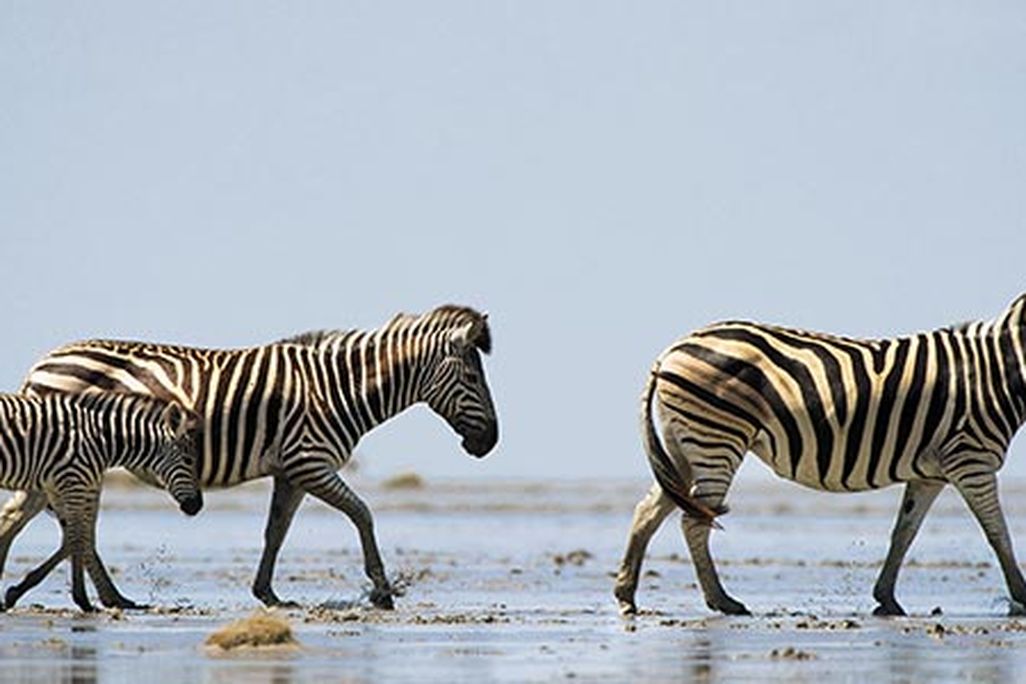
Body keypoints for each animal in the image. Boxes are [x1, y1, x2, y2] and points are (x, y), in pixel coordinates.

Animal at [0, 391, 201, 612]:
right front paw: (83, 600)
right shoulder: (73, 482)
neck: (103, 442)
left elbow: (76, 537)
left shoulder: (59, 485)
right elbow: (78, 538)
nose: (197, 506)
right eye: (189, 461)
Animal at [614, 293, 1026, 617]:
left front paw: (886, 598)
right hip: (717, 438)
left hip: (682, 445)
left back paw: (626, 595)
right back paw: (722, 600)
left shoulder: (930, 473)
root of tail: (671, 350)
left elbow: (903, 533)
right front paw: (1021, 597)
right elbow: (997, 532)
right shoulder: (971, 459)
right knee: (694, 520)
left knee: (650, 509)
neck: (1000, 373)